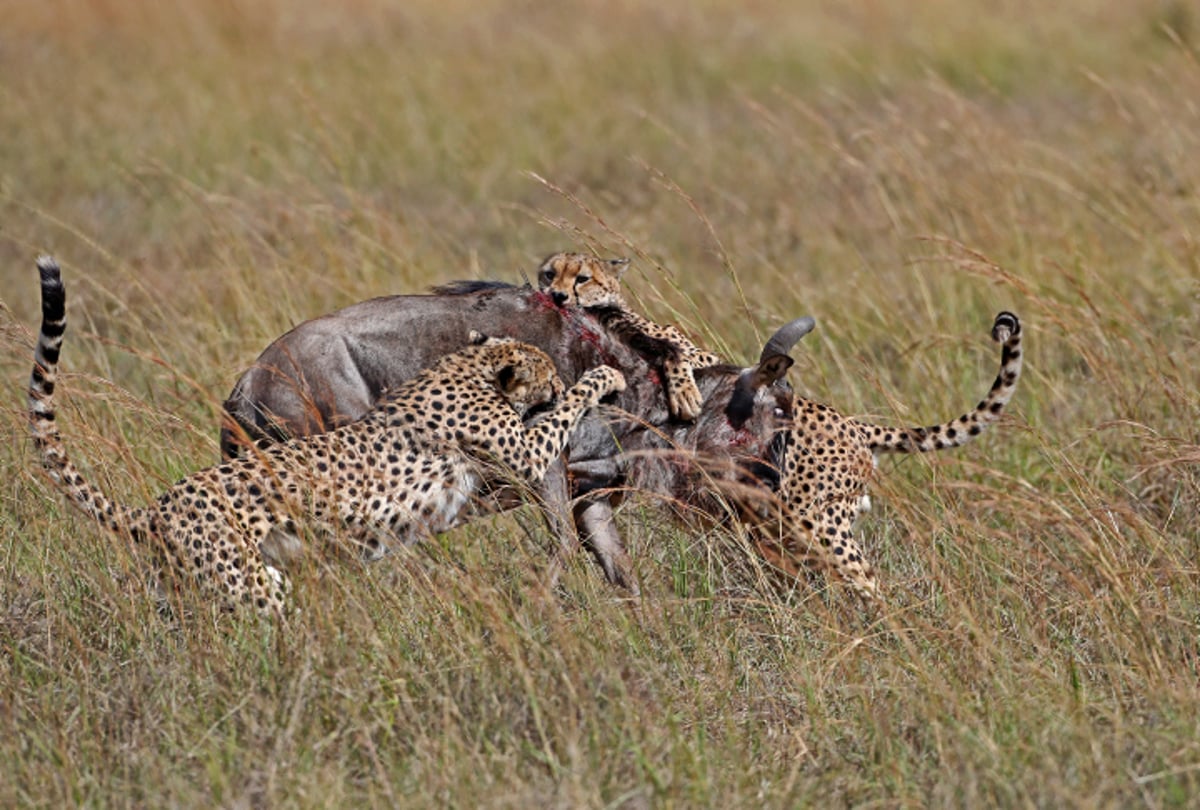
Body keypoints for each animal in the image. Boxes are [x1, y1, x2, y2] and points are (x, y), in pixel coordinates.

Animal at [537, 250, 720, 422]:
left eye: (582, 279)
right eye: (550, 275)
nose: (557, 295)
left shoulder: (705, 355)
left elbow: (679, 353)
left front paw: (684, 393)